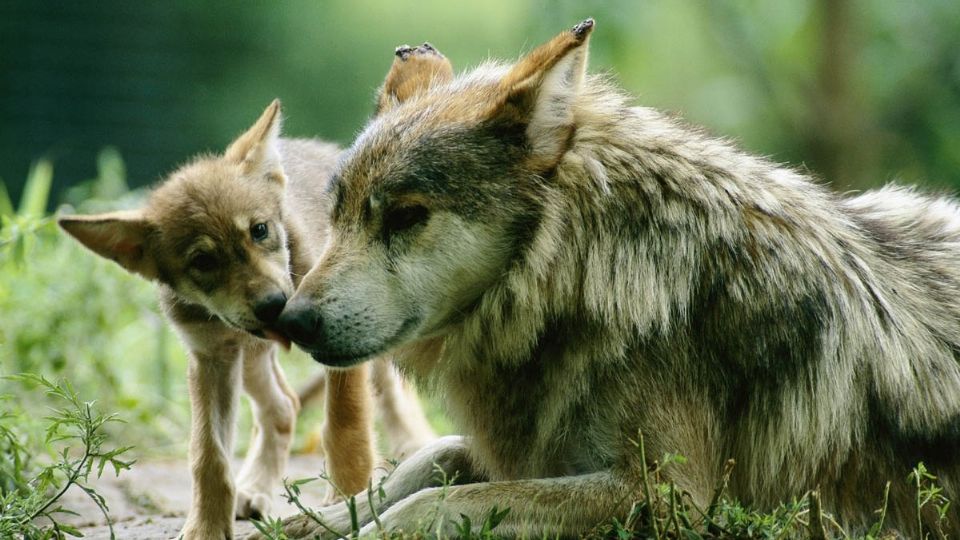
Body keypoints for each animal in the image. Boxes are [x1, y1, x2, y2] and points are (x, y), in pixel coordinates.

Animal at [274, 19, 956, 536]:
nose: (292, 319)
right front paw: (302, 523)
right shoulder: (537, 446)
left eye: (407, 216)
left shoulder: (667, 496)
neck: (591, 275)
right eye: (338, 215)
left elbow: (431, 504)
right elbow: (420, 467)